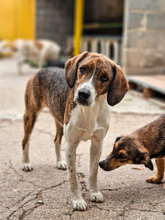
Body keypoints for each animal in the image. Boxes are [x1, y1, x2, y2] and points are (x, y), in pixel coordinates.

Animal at [21, 51, 129, 210]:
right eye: (83, 69)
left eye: (105, 78)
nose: (83, 93)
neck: (89, 111)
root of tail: (42, 69)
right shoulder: (71, 145)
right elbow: (73, 177)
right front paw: (77, 200)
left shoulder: (97, 144)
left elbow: (93, 172)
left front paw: (94, 193)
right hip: (31, 114)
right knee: (25, 140)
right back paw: (26, 163)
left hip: (60, 122)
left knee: (56, 140)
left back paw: (60, 161)